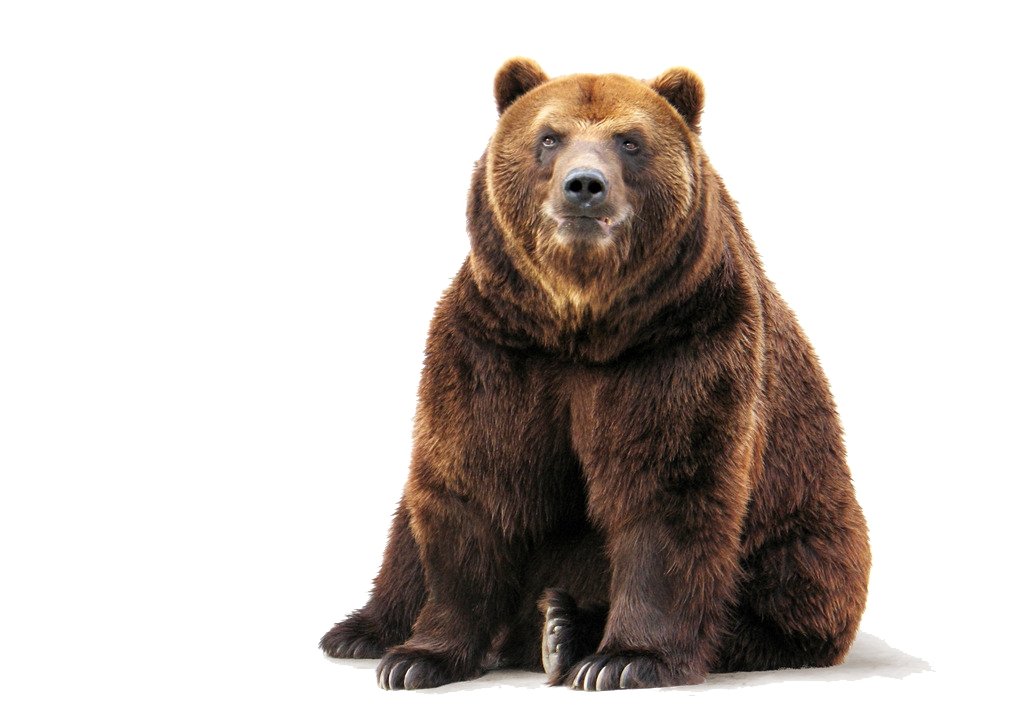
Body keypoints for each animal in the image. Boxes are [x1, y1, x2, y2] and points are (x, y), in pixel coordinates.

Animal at [320, 58, 871, 691]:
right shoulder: (497, 346)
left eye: (629, 141)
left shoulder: (681, 345)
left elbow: (667, 491)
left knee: (782, 592)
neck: (581, 324)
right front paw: (418, 658)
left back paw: (565, 628)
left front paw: (625, 658)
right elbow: (474, 481)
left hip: (807, 530)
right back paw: (363, 631)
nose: (584, 185)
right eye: (548, 137)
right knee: (406, 530)